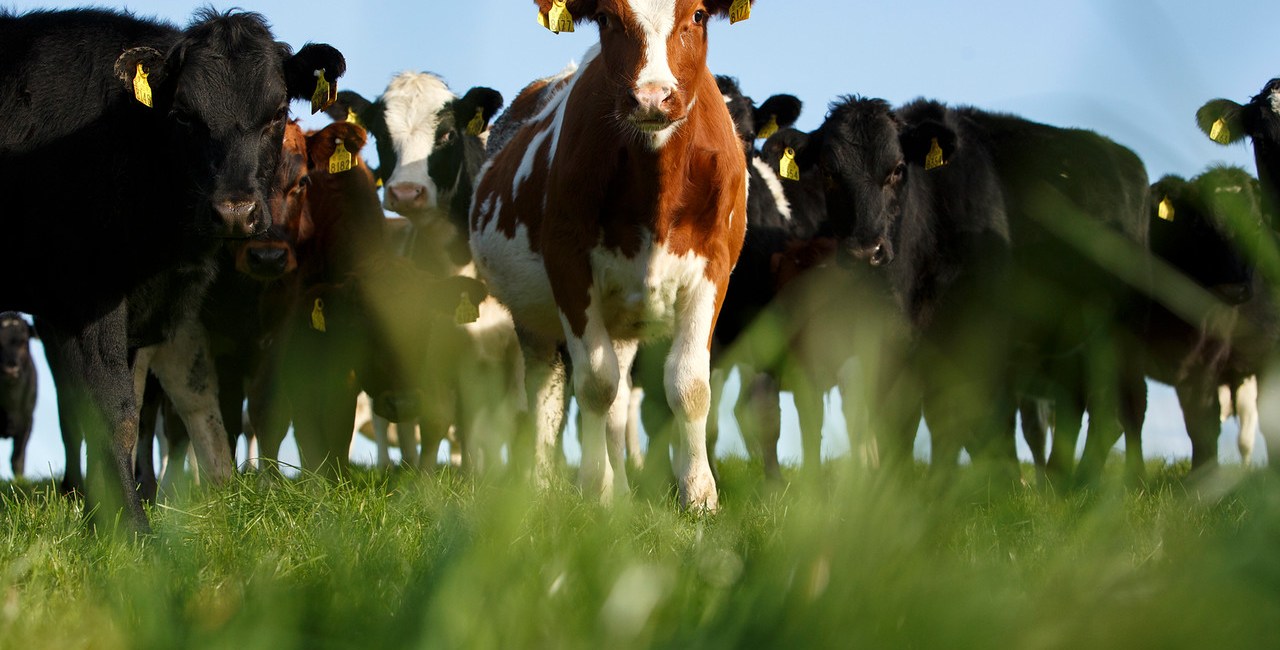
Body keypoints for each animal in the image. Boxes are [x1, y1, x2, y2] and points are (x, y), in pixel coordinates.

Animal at [0, 6, 345, 532]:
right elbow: (114, 415)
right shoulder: (87, 296)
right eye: (184, 115)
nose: (234, 212)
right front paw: (131, 529)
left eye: (277, 113)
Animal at [471, 0, 752, 509]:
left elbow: (689, 383)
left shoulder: (714, 268)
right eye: (605, 18)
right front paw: (593, 491)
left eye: (699, 15)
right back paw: (543, 483)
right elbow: (594, 385)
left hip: (622, 315)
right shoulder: (567, 265)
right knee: (546, 390)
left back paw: (622, 489)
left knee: (620, 398)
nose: (652, 98)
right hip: (531, 317)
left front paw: (699, 495)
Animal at [788, 95, 1152, 483]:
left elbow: (958, 419)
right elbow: (898, 424)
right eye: (828, 172)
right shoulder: (887, 342)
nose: (864, 251)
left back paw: (1124, 477)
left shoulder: (974, 336)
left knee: (1127, 406)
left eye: (898, 168)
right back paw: (1063, 478)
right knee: (1080, 401)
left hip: (1126, 325)